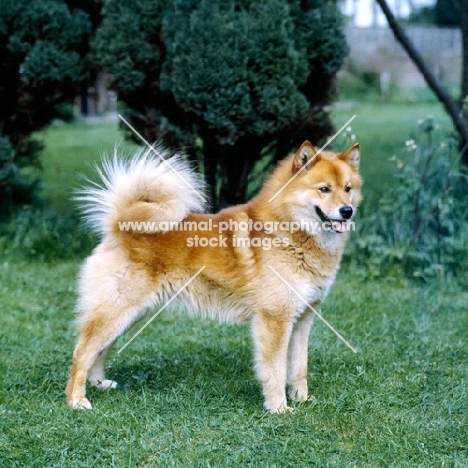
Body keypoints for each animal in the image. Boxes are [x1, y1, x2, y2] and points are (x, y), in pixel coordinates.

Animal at [65, 140, 362, 414]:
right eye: (324, 189)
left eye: (348, 189)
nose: (347, 211)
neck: (290, 233)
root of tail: (119, 226)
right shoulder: (275, 320)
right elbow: (276, 370)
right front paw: (279, 407)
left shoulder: (302, 319)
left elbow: (299, 366)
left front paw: (301, 399)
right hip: (117, 311)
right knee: (82, 352)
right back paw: (76, 399)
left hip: (129, 315)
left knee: (99, 351)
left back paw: (99, 384)